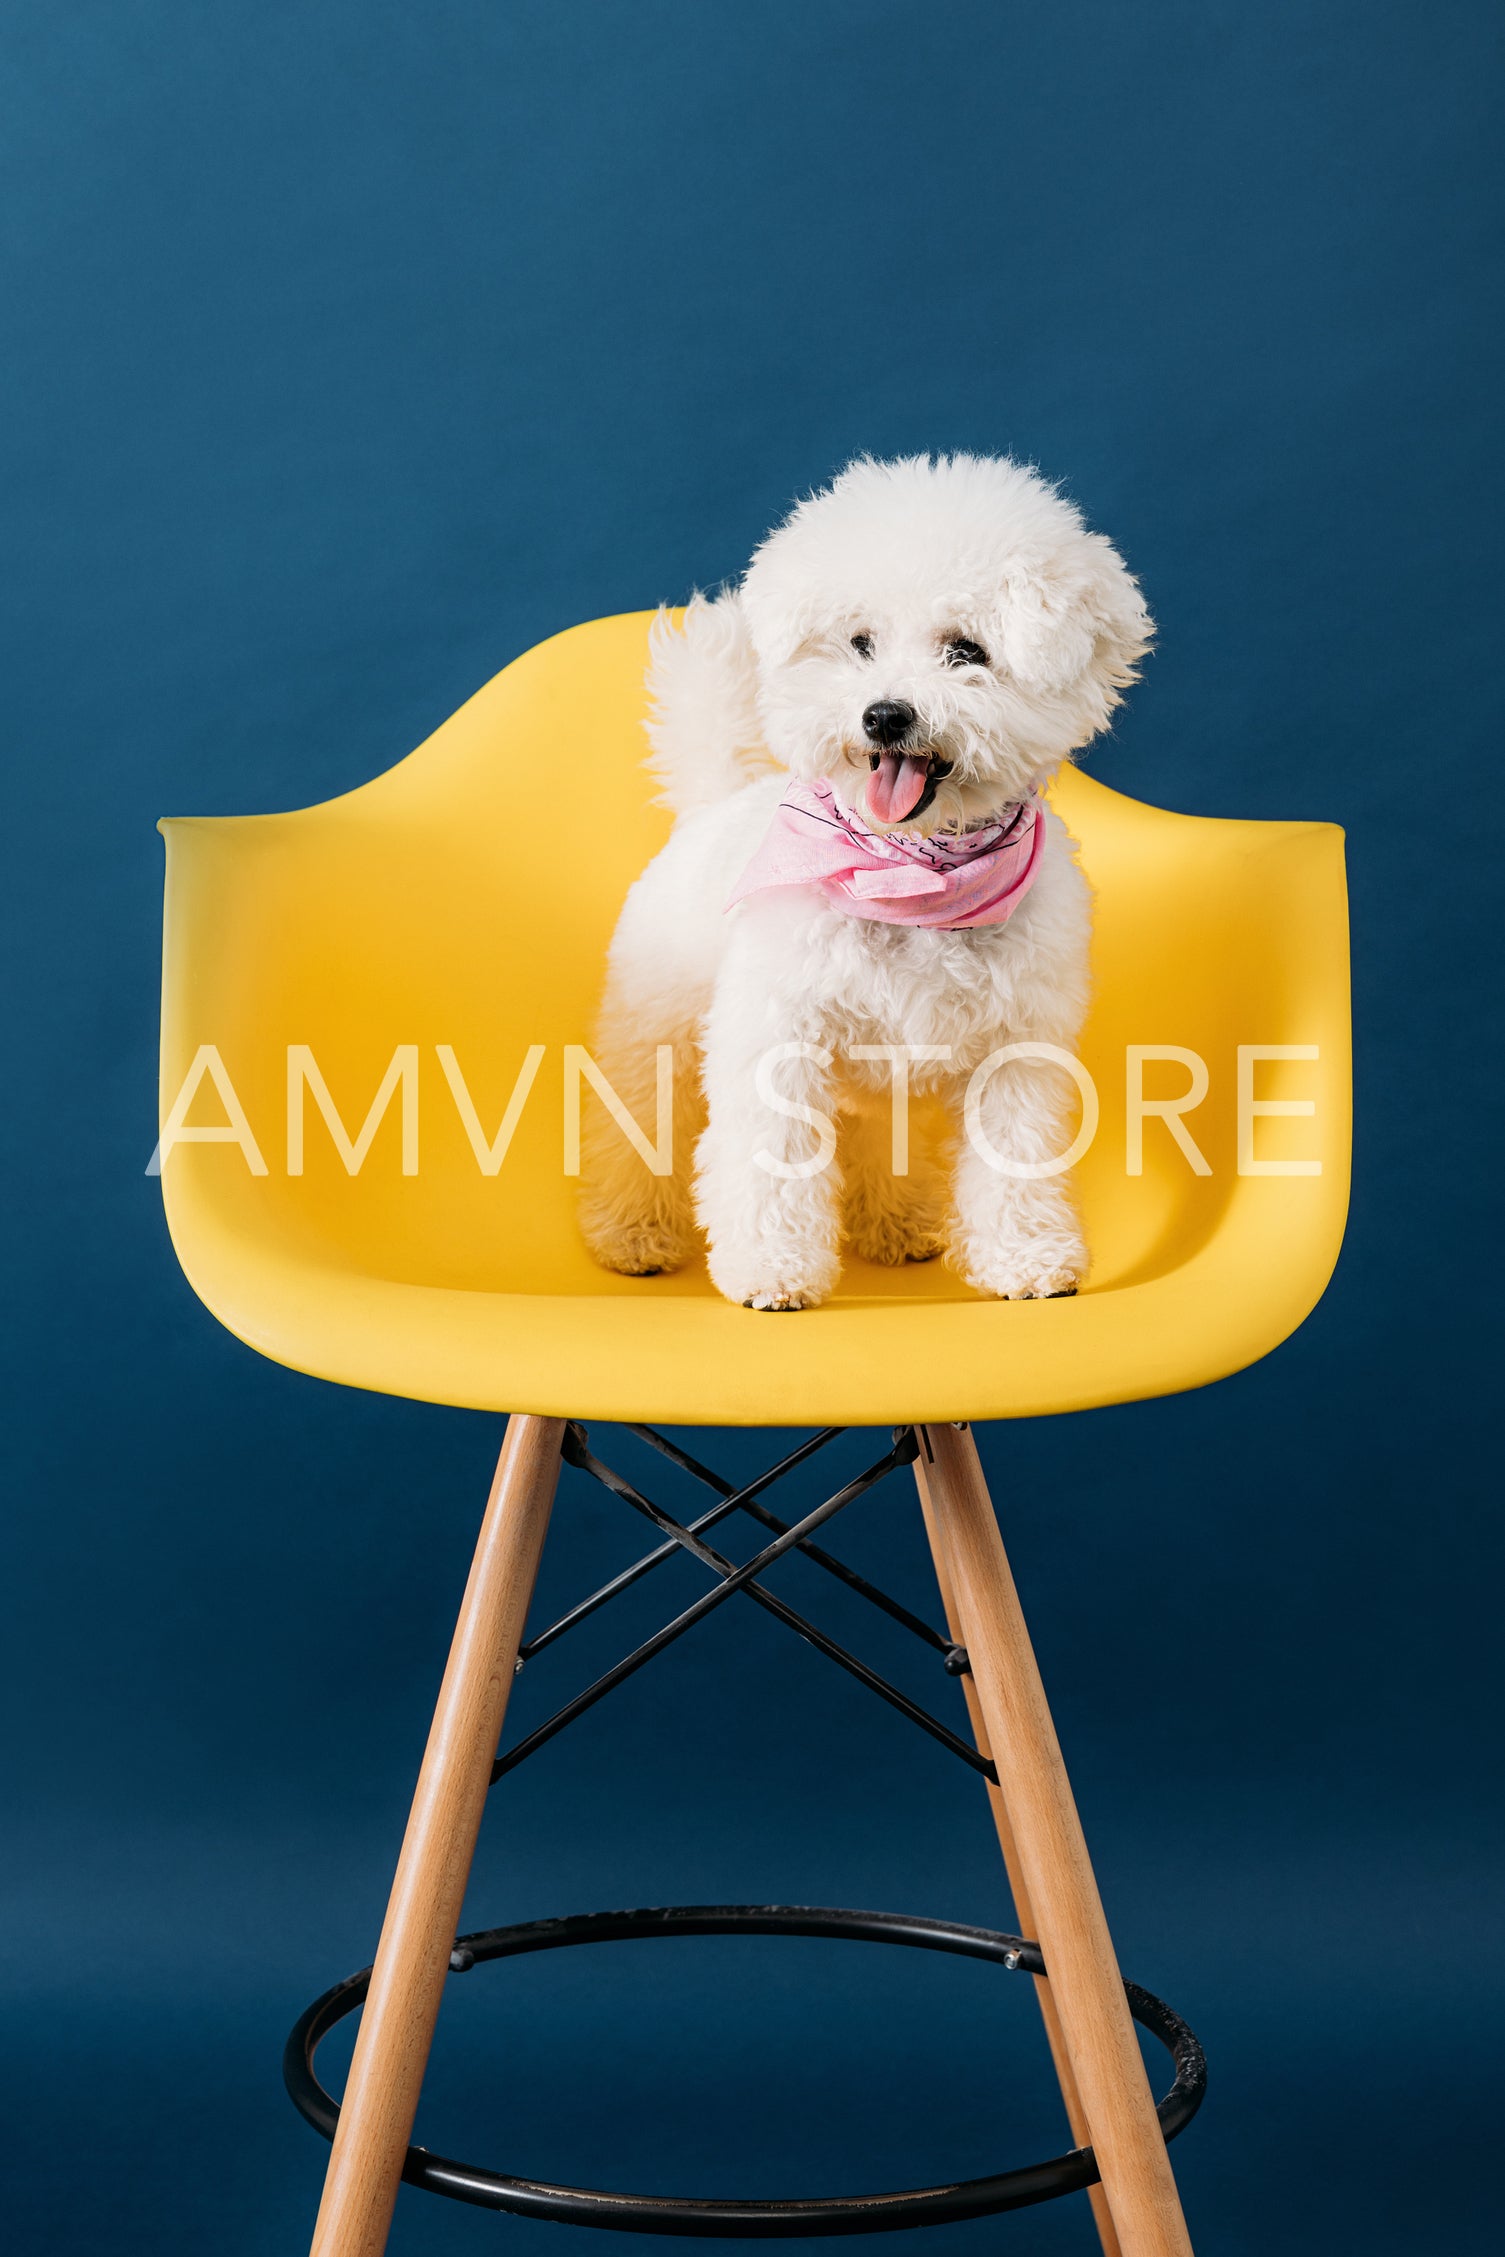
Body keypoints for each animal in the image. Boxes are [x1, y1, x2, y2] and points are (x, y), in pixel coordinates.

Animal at [582, 451, 1155, 1318]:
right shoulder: (773, 1037)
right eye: (858, 643)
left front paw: (1026, 1258)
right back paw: (632, 1232)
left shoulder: (1017, 1048)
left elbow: (1013, 1158)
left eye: (966, 650)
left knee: (869, 1131)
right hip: (655, 1029)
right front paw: (772, 1269)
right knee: (637, 1123)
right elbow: (769, 1157)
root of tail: (712, 803)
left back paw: (898, 1223)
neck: (906, 869)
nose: (884, 714)